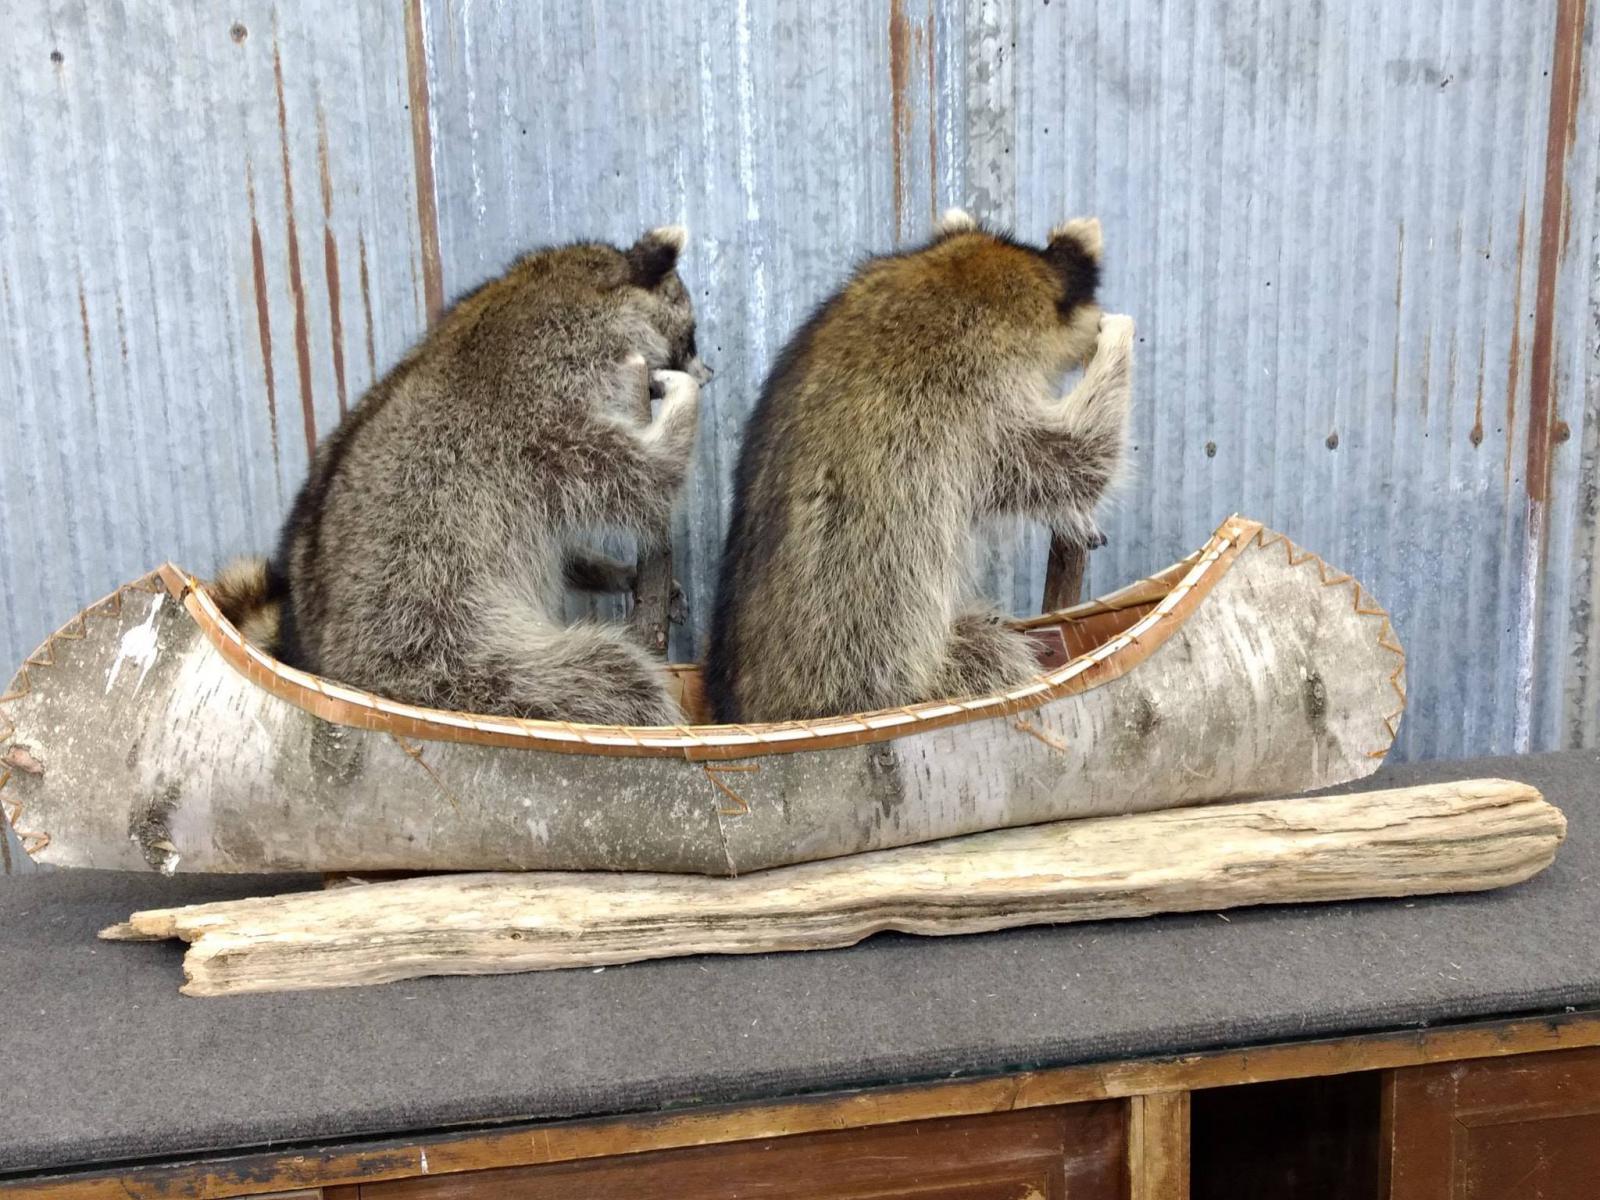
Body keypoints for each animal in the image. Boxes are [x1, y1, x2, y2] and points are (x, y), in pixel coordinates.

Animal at [211, 228, 707, 729]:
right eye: (692, 337)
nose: (708, 373)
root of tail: (321, 665)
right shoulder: (541, 406)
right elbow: (646, 477)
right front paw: (682, 400)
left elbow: (567, 544)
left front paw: (613, 572)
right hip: (436, 650)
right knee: (612, 680)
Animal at [707, 206, 1132, 723]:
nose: (1099, 332)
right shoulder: (974, 400)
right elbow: (1078, 459)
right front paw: (1117, 344)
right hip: (871, 674)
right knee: (993, 655)